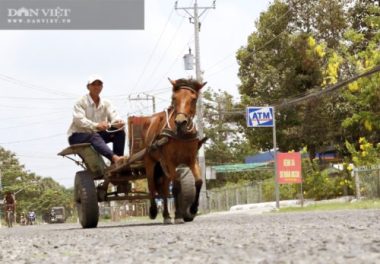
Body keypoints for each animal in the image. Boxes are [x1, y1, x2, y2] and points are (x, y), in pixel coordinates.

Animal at [138, 77, 206, 224]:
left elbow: (198, 182)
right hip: (150, 161)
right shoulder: (170, 161)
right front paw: (179, 215)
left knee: (164, 189)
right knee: (151, 186)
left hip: (163, 167)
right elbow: (176, 187)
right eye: (174, 98)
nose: (180, 122)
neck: (181, 134)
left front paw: (193, 209)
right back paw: (154, 211)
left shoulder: (191, 159)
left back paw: (166, 215)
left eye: (193, 99)